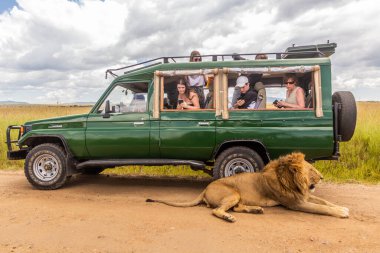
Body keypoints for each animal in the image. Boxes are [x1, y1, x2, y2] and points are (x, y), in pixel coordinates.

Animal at [147, 152, 348, 221]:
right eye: (312, 170)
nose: (322, 177)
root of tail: (205, 189)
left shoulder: (303, 196)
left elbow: (324, 202)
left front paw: (343, 207)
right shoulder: (295, 203)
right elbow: (322, 208)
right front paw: (342, 212)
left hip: (237, 197)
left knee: (236, 207)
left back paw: (255, 210)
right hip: (233, 193)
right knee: (217, 210)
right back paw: (229, 217)